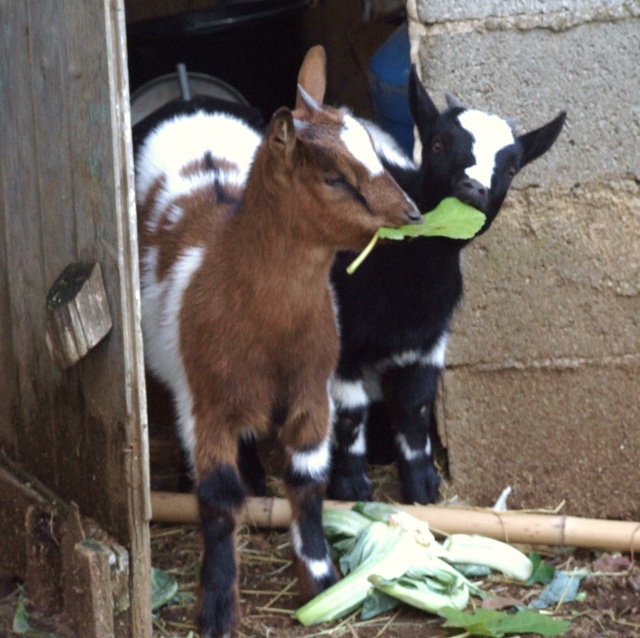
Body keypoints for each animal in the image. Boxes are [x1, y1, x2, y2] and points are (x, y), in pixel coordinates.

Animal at [135, 46, 420, 638]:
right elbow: (217, 498)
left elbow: (308, 482)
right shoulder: (207, 403)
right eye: (333, 179)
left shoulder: (313, 389)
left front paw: (322, 580)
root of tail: (188, 97)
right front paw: (218, 609)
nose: (411, 214)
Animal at [328, 69, 568, 504]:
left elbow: (415, 407)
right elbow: (349, 411)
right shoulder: (339, 334)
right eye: (438, 144)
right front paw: (352, 489)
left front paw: (422, 487)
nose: (473, 187)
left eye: (511, 169)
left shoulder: (428, 339)